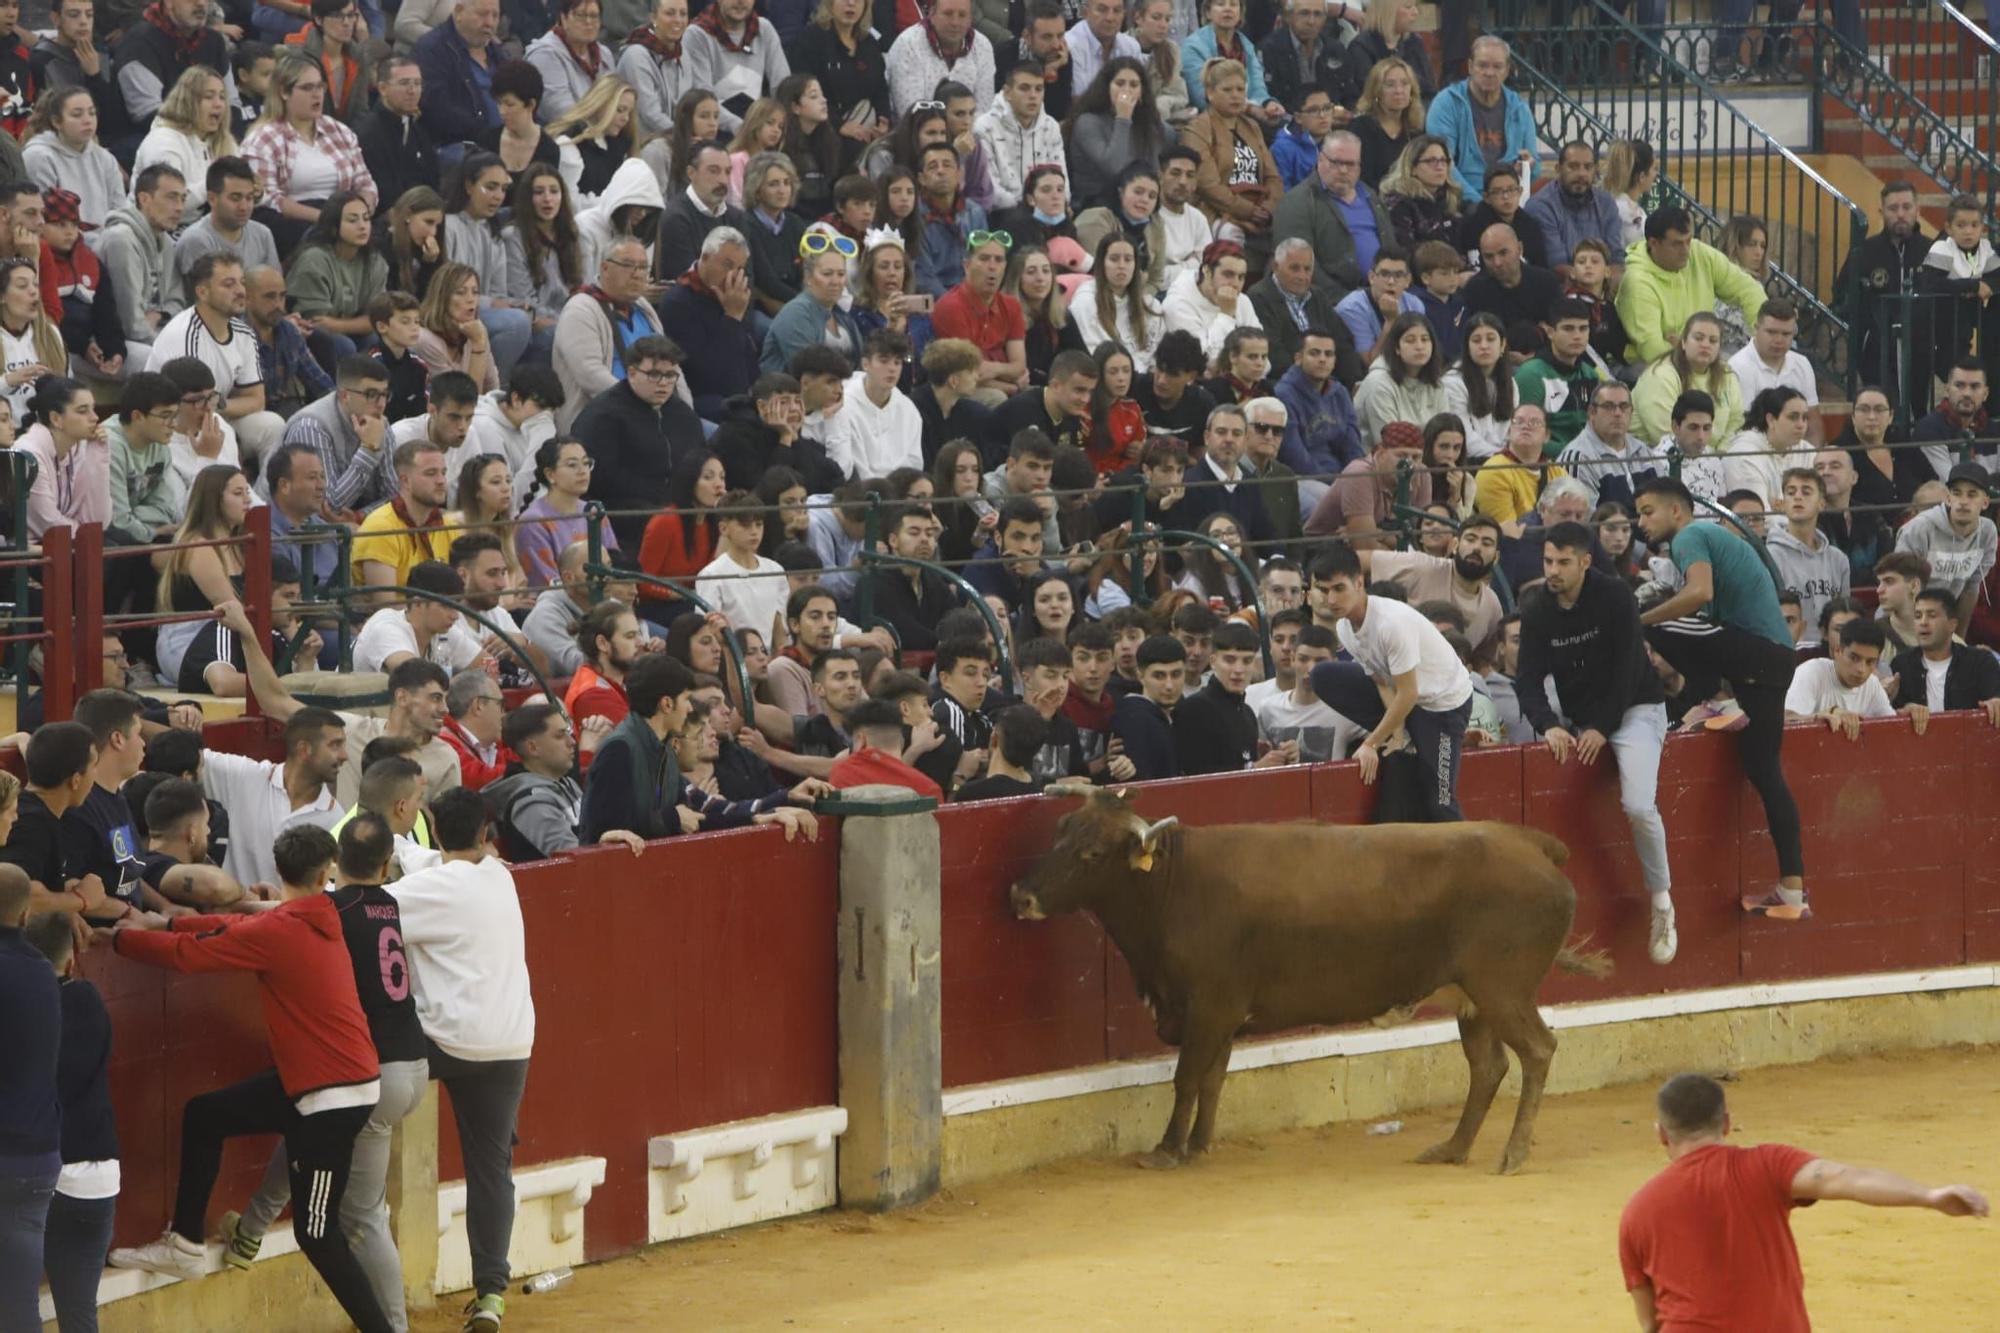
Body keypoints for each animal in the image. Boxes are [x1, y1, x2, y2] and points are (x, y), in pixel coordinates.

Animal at [1016, 784, 1608, 1168]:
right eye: (1060, 831)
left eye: (1092, 853)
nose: (1021, 895)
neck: (1171, 881)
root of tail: (1532, 843)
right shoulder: (1221, 1016)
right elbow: (1212, 1077)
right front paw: (1200, 1144)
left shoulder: (1209, 1006)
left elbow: (1186, 1077)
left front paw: (1164, 1151)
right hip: (1473, 999)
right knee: (1488, 1068)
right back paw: (1452, 1149)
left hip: (1504, 991)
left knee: (1537, 1052)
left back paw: (1512, 1153)